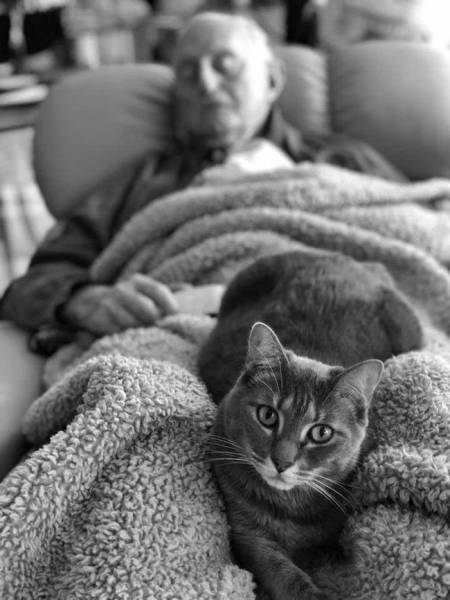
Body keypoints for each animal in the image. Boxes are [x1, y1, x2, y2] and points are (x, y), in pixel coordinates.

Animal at [197, 250, 422, 600]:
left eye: (321, 432)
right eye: (267, 415)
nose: (282, 462)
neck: (289, 505)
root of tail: (337, 256)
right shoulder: (248, 533)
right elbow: (283, 573)